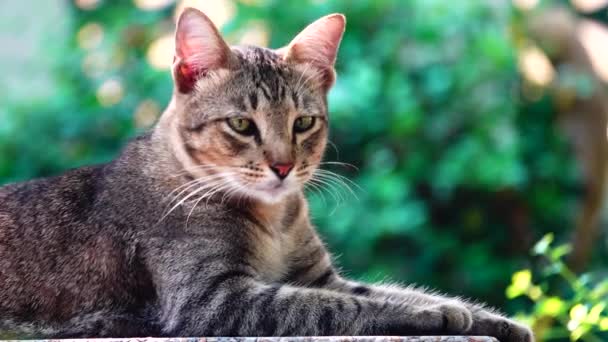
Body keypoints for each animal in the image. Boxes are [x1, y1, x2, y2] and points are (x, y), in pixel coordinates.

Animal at [0, 8, 532, 342]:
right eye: (241, 124)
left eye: (304, 122)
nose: (282, 165)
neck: (275, 218)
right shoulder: (214, 300)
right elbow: (347, 307)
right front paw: (436, 312)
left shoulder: (319, 277)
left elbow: (384, 291)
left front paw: (494, 319)